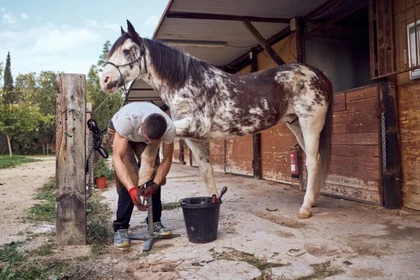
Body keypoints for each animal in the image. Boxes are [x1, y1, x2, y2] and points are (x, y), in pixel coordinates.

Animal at [100, 20, 334, 219]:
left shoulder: (195, 125)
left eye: (126, 50)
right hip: (295, 124)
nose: (105, 81)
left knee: (312, 161)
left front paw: (144, 172)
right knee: (315, 158)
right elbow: (205, 170)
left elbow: (154, 135)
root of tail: (320, 75)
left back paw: (305, 208)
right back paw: (312, 201)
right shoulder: (192, 136)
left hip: (310, 122)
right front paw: (212, 203)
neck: (185, 82)